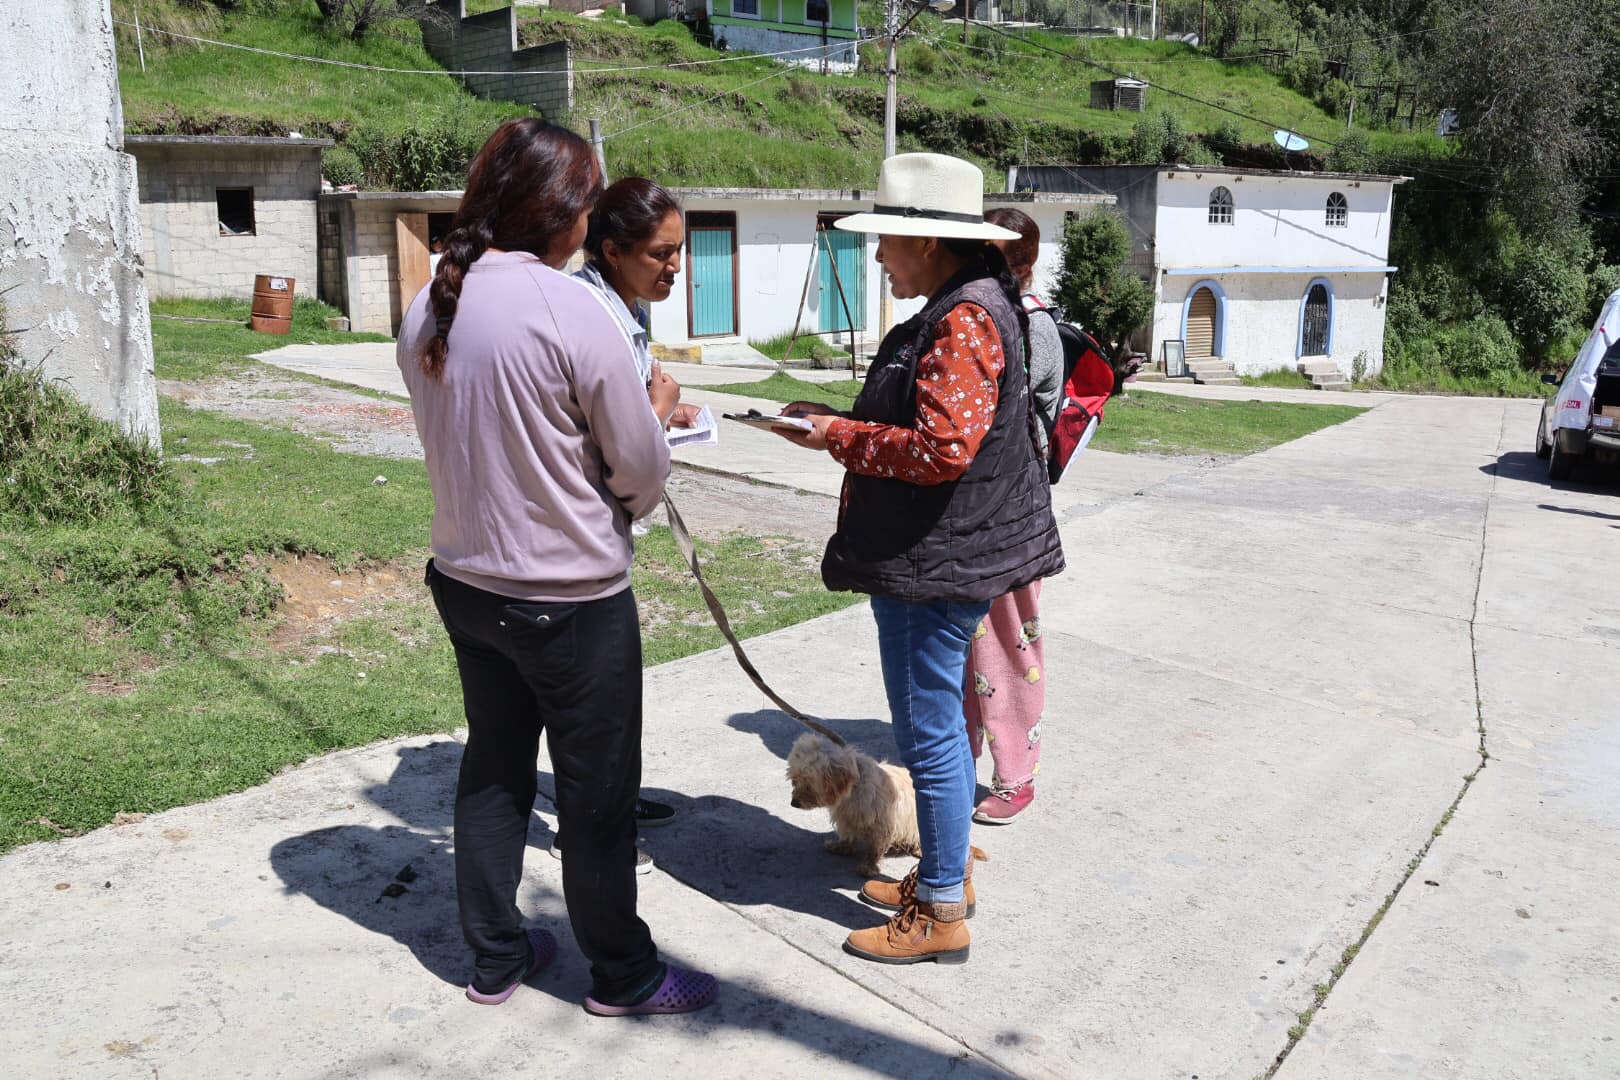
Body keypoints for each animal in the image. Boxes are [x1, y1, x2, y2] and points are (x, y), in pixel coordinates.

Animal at [787, 735, 926, 880]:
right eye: (794, 780)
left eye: (809, 785)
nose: (794, 803)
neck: (853, 789)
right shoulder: (846, 818)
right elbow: (848, 834)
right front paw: (842, 846)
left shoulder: (882, 824)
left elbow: (875, 848)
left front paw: (869, 866)